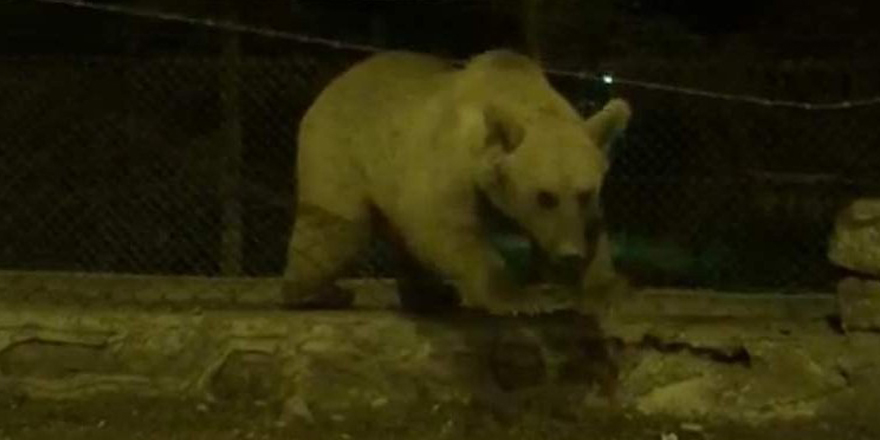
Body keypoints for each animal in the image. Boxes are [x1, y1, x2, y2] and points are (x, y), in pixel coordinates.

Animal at [281, 49, 632, 315]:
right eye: (545, 196)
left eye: (585, 193)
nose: (570, 254)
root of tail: (337, 81)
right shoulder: (452, 164)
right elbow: (444, 226)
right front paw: (521, 298)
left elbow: (594, 228)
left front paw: (603, 290)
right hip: (341, 149)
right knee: (334, 227)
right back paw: (317, 292)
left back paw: (429, 296)